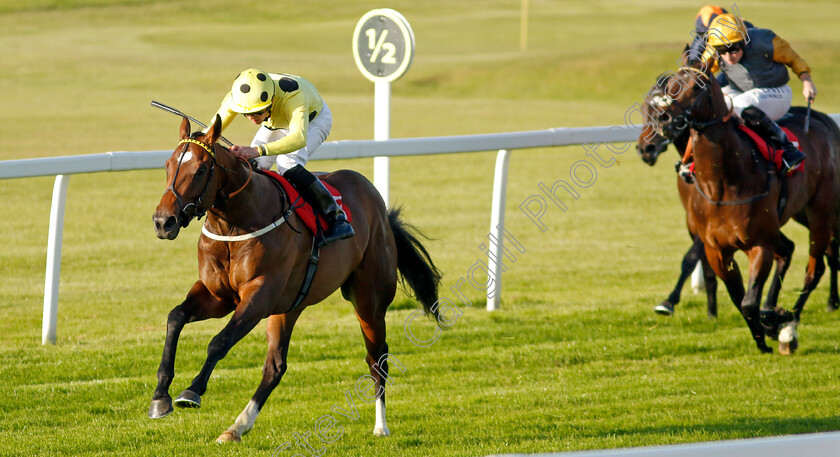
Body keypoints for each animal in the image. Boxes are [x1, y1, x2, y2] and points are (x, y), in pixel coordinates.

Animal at [148, 115, 442, 442]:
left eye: (200, 169)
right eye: (167, 165)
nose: (163, 222)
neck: (237, 223)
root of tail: (377, 203)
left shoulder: (259, 295)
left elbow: (219, 341)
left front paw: (192, 391)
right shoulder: (218, 296)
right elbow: (175, 317)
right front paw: (160, 396)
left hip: (369, 299)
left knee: (377, 357)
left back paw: (381, 425)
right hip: (289, 307)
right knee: (275, 367)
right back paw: (237, 426)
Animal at [656, 67, 840, 352]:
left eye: (697, 87)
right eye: (670, 86)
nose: (665, 119)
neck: (721, 185)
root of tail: (823, 120)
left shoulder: (760, 243)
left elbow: (750, 302)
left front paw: (772, 325)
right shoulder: (716, 250)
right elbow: (739, 298)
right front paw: (765, 330)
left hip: (821, 213)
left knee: (814, 270)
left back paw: (791, 328)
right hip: (799, 213)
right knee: (796, 253)